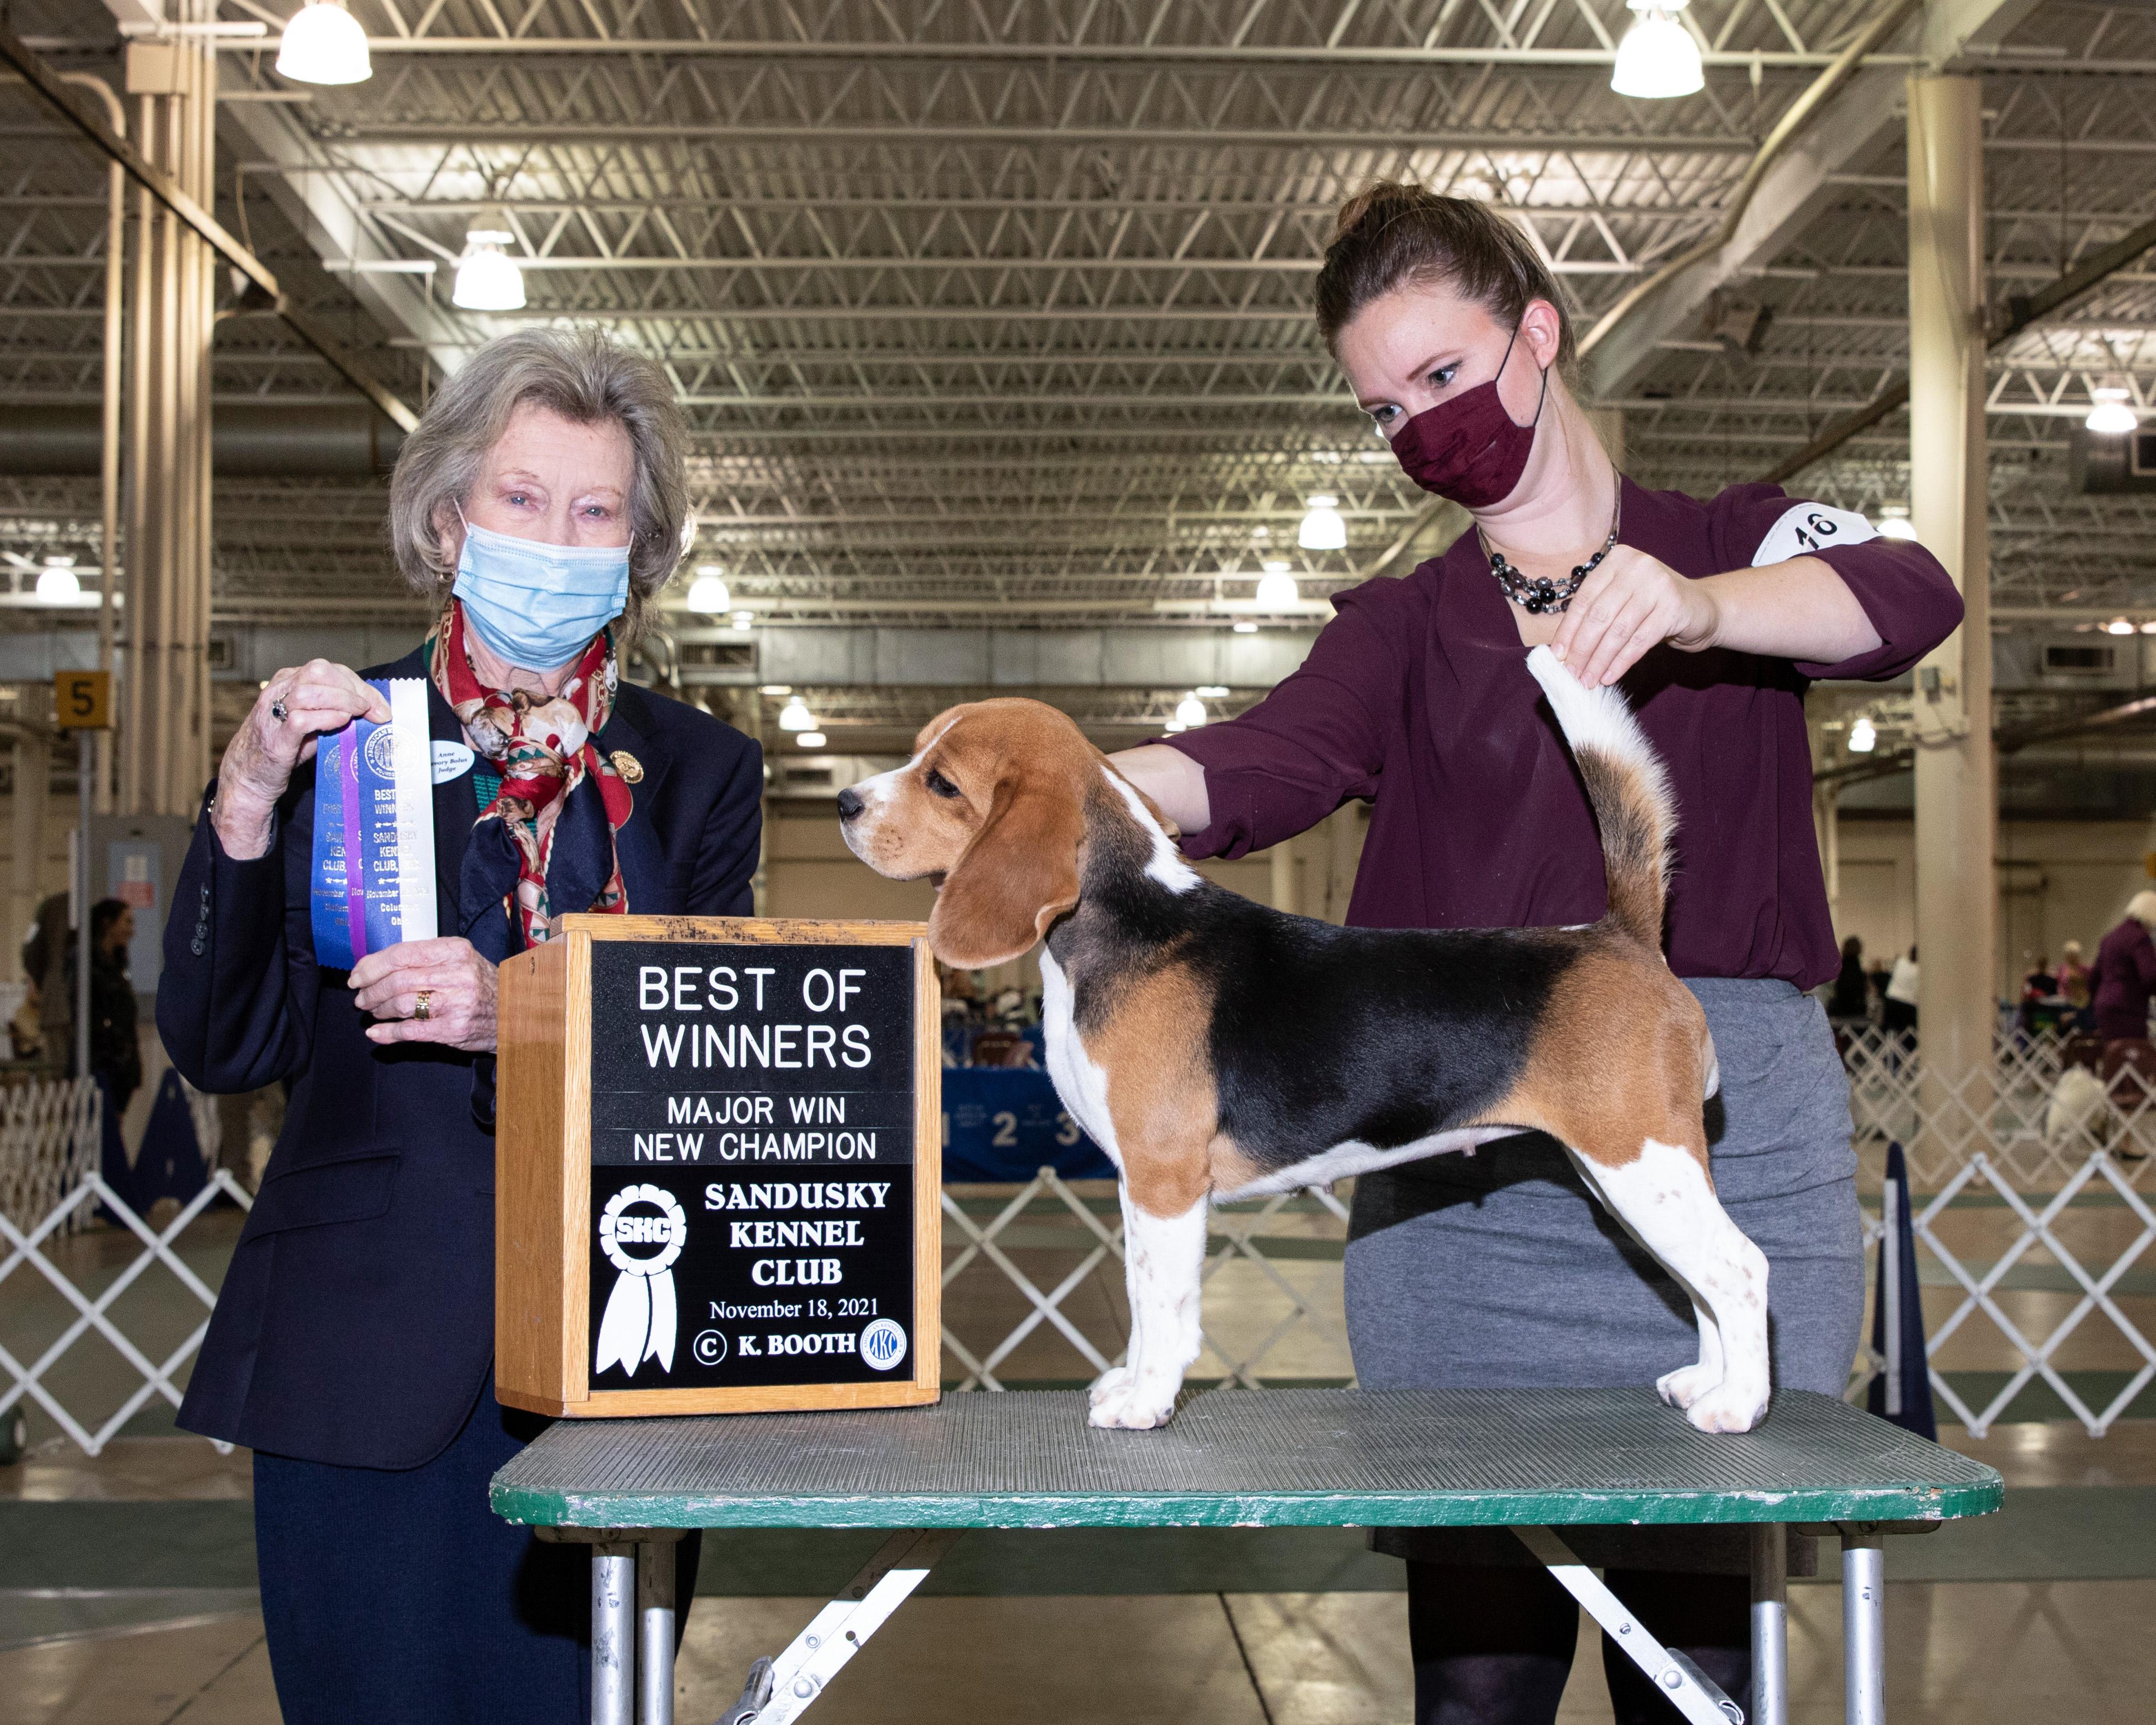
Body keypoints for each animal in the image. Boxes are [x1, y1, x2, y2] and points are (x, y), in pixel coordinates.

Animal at [837, 647, 1770, 1434]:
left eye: (943, 783)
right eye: (913, 756)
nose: (844, 803)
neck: (1119, 919)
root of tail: (1621, 934)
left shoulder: (1164, 1176)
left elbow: (1163, 1304)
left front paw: (1146, 1400)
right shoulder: (1137, 1185)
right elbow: (1140, 1293)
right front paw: (1130, 1379)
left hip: (1641, 1160)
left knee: (1740, 1268)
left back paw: (1738, 1404)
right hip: (1630, 1175)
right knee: (1702, 1281)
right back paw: (1704, 1380)